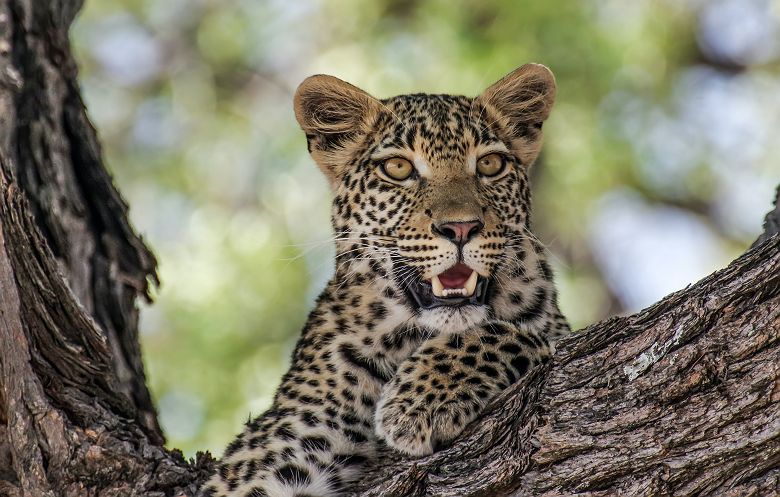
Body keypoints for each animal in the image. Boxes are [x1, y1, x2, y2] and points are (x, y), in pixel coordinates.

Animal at [198, 64, 568, 496]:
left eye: (491, 165)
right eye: (398, 168)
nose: (461, 228)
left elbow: (519, 333)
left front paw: (419, 401)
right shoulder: (284, 441)